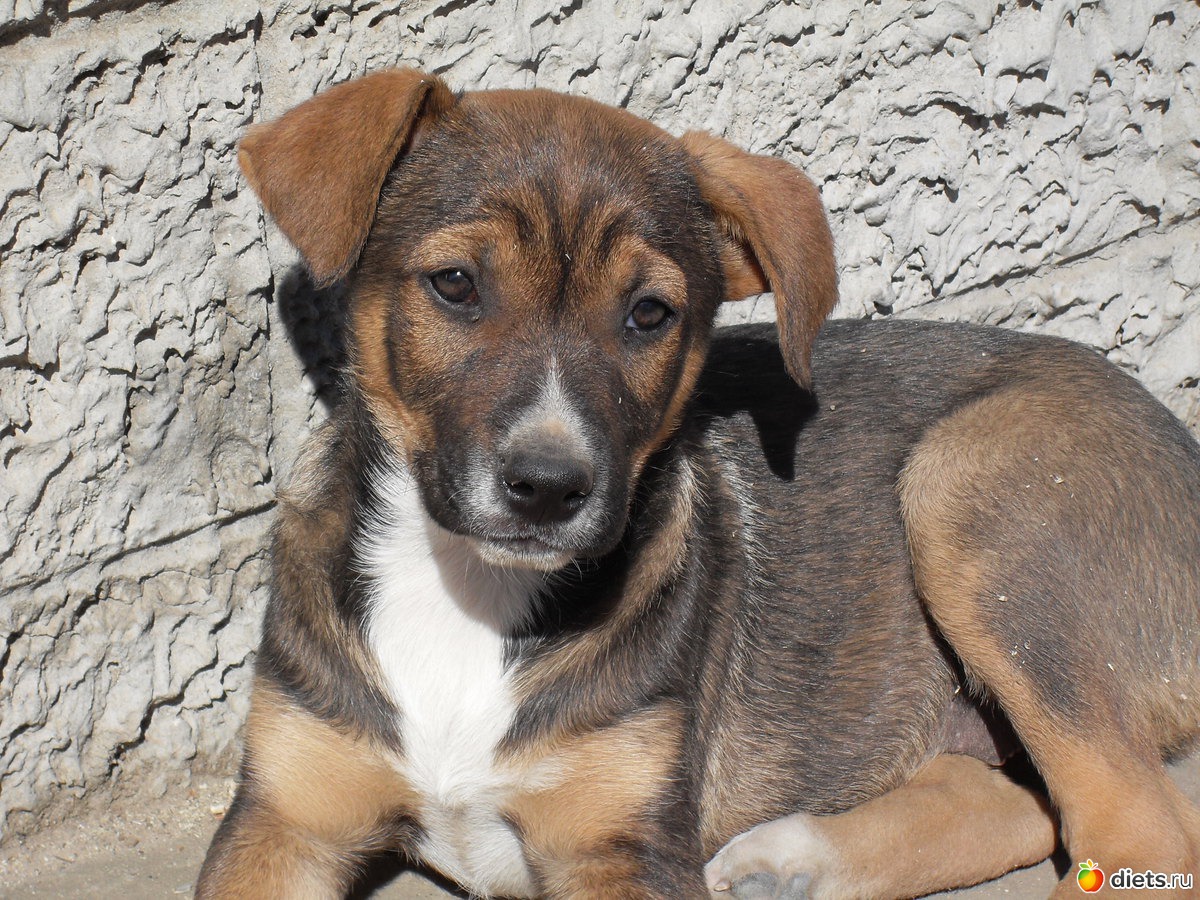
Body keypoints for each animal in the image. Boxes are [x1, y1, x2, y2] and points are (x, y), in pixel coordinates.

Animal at [197, 67, 1200, 899]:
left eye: (650, 314)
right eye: (454, 284)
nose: (549, 487)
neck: (469, 591)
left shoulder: (624, 843)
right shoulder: (283, 817)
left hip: (969, 487)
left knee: (1143, 827)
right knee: (1023, 802)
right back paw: (793, 864)